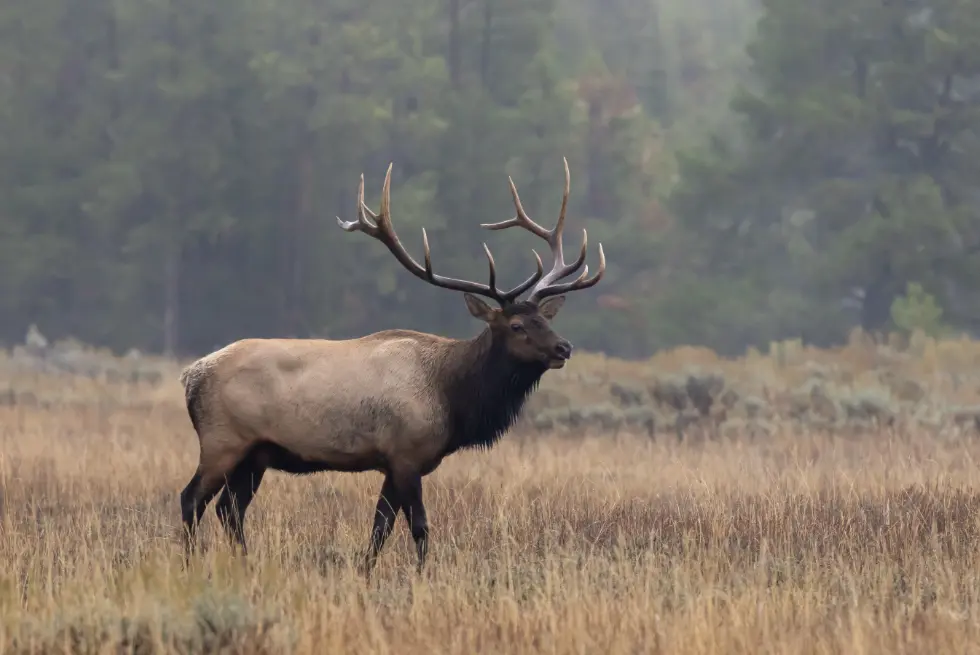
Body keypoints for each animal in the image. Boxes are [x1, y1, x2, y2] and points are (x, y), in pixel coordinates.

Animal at [177, 158, 606, 574]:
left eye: (545, 319)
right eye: (517, 326)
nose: (564, 347)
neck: (453, 396)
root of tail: (191, 376)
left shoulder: (391, 463)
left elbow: (380, 527)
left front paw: (366, 574)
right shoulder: (406, 455)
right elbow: (419, 527)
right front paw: (422, 577)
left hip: (257, 453)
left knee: (229, 509)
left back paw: (245, 564)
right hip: (222, 440)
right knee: (192, 499)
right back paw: (190, 564)